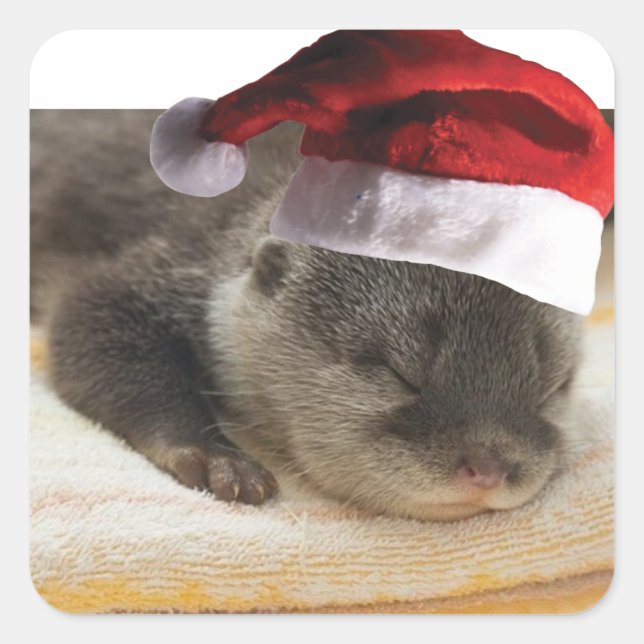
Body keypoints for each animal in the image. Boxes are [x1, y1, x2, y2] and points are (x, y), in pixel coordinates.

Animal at [30, 110, 582, 521]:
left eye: (549, 388)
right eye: (398, 374)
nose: (488, 468)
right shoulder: (171, 261)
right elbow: (87, 316)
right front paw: (216, 458)